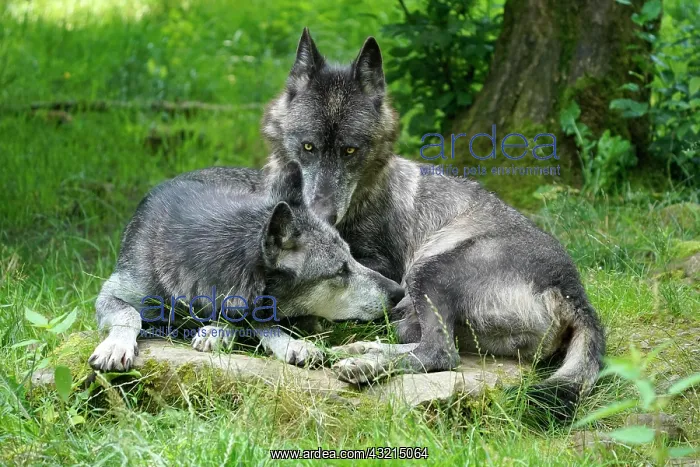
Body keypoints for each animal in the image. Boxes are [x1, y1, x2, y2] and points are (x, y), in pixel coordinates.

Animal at [88, 161, 405, 372]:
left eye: (351, 259)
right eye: (340, 271)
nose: (399, 292)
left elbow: (254, 319)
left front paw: (288, 343)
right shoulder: (111, 293)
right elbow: (129, 314)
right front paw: (116, 345)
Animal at [259, 29, 606, 418]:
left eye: (350, 151)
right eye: (308, 147)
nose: (324, 216)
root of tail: (574, 292)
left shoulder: (384, 268)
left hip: (428, 271)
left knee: (441, 353)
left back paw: (365, 365)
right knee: (423, 341)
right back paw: (362, 350)